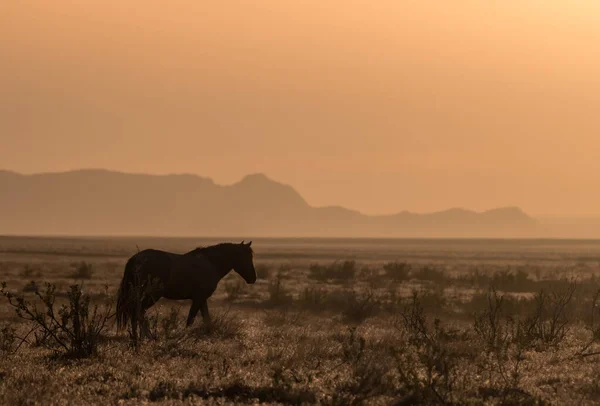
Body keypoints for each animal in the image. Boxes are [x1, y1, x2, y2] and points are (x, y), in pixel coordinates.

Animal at [116, 241, 255, 334]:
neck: (211, 263)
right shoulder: (198, 298)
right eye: (247, 257)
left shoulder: (201, 299)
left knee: (135, 311)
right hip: (152, 295)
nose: (253, 278)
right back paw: (145, 336)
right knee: (138, 311)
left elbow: (206, 319)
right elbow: (191, 319)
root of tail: (135, 259)